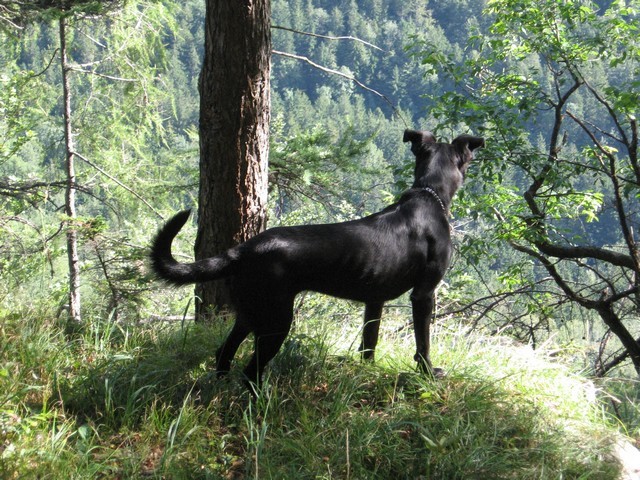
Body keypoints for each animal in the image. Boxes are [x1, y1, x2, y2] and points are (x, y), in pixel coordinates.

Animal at [151, 129, 484, 388]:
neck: (429, 195)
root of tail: (242, 250)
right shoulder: (424, 294)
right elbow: (422, 342)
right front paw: (428, 373)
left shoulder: (374, 299)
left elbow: (369, 340)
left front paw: (366, 370)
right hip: (276, 321)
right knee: (250, 372)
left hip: (249, 313)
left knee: (224, 354)